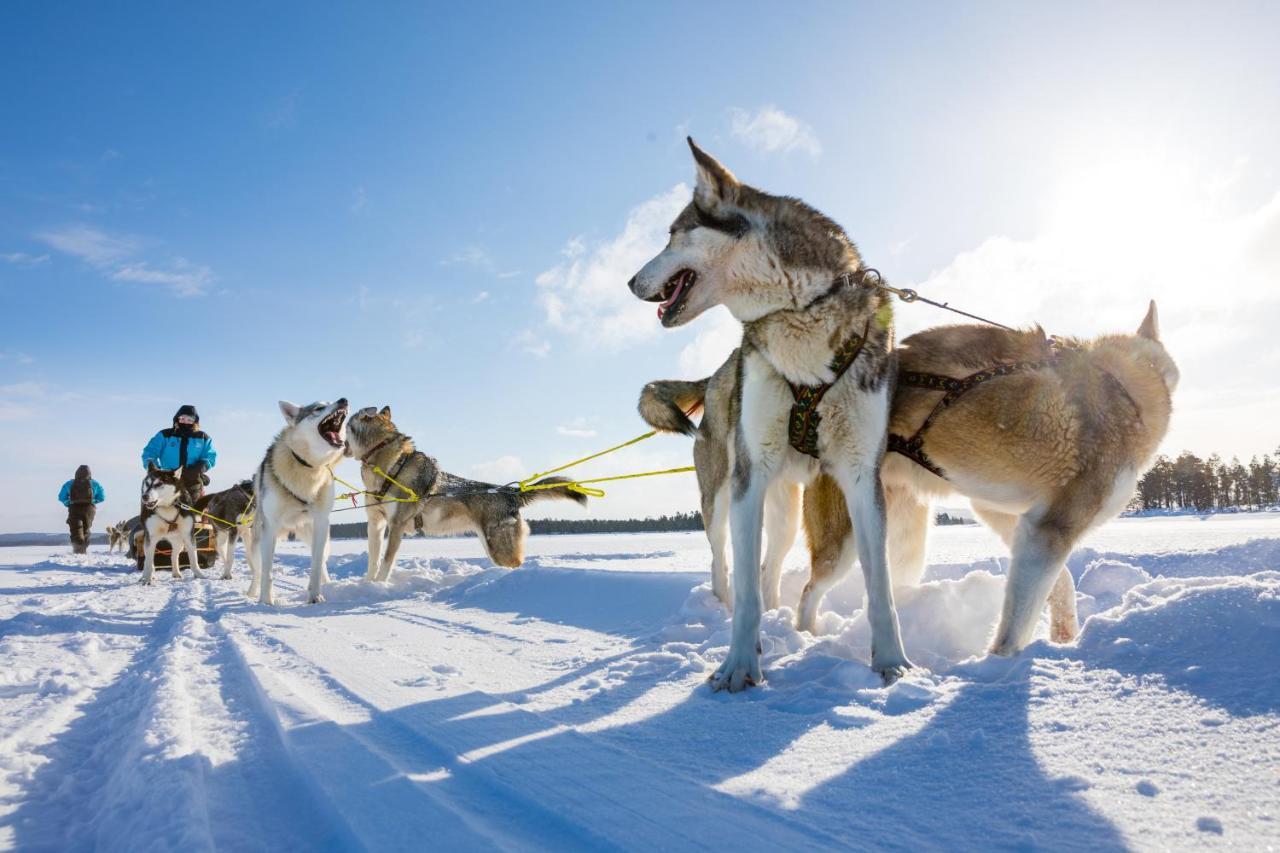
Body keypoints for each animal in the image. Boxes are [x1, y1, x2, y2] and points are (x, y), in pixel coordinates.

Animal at [249, 399, 348, 604]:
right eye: (319, 408)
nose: (343, 400)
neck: (308, 467)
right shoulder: (269, 528)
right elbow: (267, 572)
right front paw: (265, 601)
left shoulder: (321, 522)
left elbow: (316, 566)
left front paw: (315, 596)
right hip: (258, 542)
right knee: (257, 571)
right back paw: (252, 593)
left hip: (320, 537)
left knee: (322, 561)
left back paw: (328, 584)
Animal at [343, 404, 586, 578]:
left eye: (346, 423)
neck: (388, 465)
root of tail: (511, 492)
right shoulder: (376, 523)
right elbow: (373, 561)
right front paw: (368, 585)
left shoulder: (396, 525)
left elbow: (386, 562)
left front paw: (379, 586)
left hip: (499, 547)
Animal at [627, 136, 911, 686]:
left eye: (672, 235)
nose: (629, 282)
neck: (799, 311)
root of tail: (719, 373)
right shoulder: (749, 476)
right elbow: (746, 594)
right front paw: (738, 667)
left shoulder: (861, 476)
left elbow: (881, 588)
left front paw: (893, 666)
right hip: (720, 497)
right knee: (724, 566)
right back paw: (725, 608)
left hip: (784, 513)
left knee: (769, 569)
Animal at [640, 303, 1177, 650]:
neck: (1124, 385)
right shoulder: (1051, 528)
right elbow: (1014, 624)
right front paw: (1000, 672)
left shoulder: (1009, 514)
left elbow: (1060, 583)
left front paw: (1063, 641)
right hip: (818, 527)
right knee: (790, 583)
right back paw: (802, 634)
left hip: (882, 533)